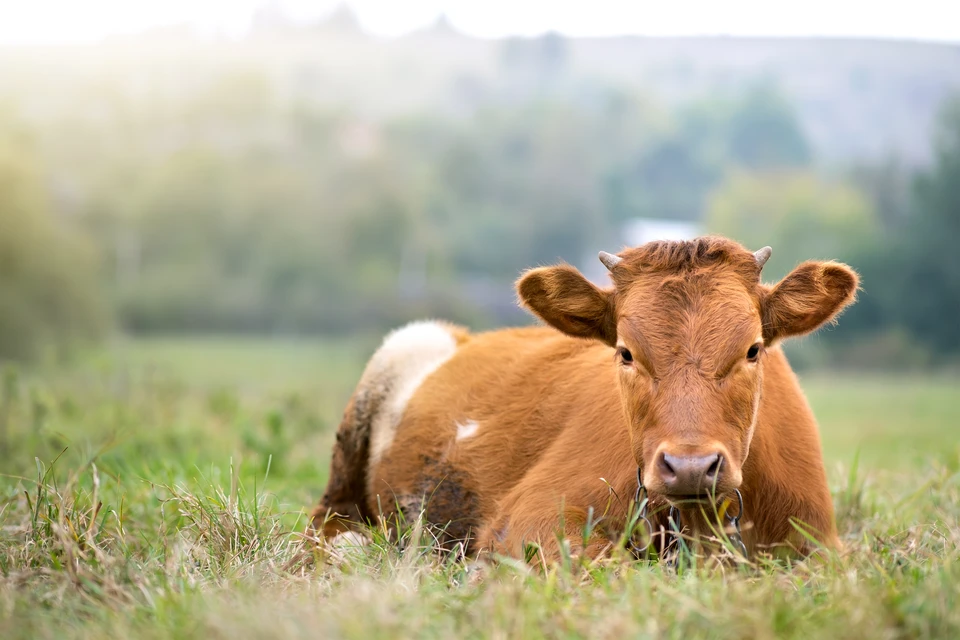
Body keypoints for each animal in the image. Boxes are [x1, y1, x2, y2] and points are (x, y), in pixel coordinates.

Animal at [309, 236, 858, 564]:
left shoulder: (820, 545)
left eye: (752, 349)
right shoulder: (530, 519)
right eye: (625, 352)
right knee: (329, 520)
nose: (690, 466)